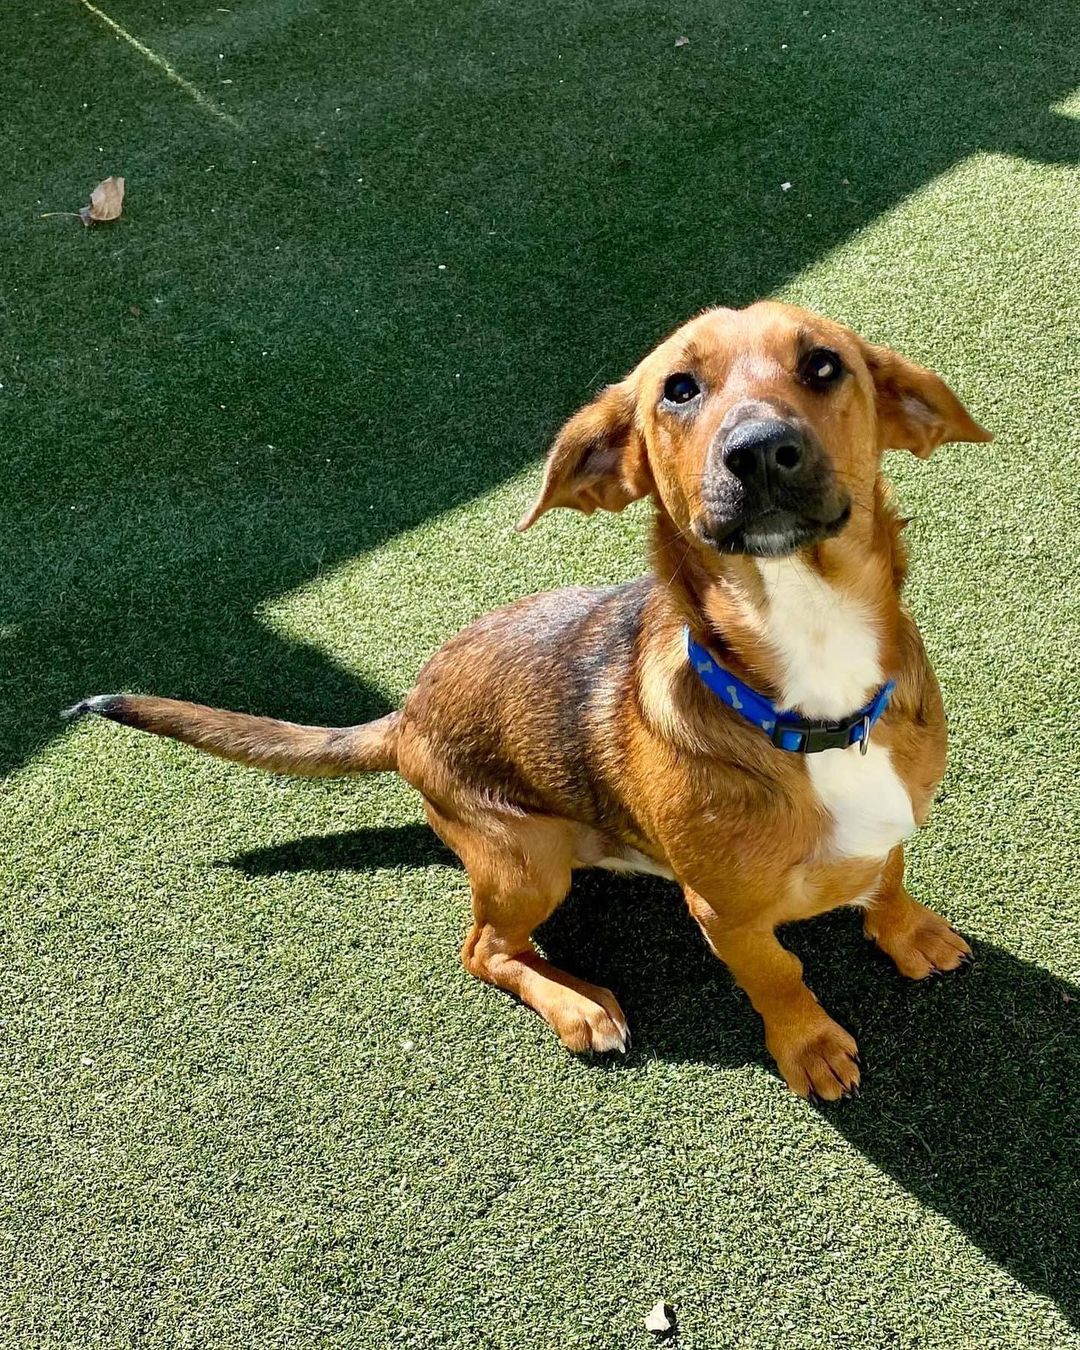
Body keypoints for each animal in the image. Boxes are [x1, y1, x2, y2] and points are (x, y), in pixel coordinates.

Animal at [67, 303, 993, 1096]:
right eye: (678, 389)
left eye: (824, 364)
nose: (760, 450)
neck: (818, 689)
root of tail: (405, 715)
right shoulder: (723, 914)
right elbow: (780, 976)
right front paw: (809, 1046)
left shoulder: (894, 821)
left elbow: (888, 877)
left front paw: (908, 934)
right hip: (525, 860)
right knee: (482, 950)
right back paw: (580, 1005)